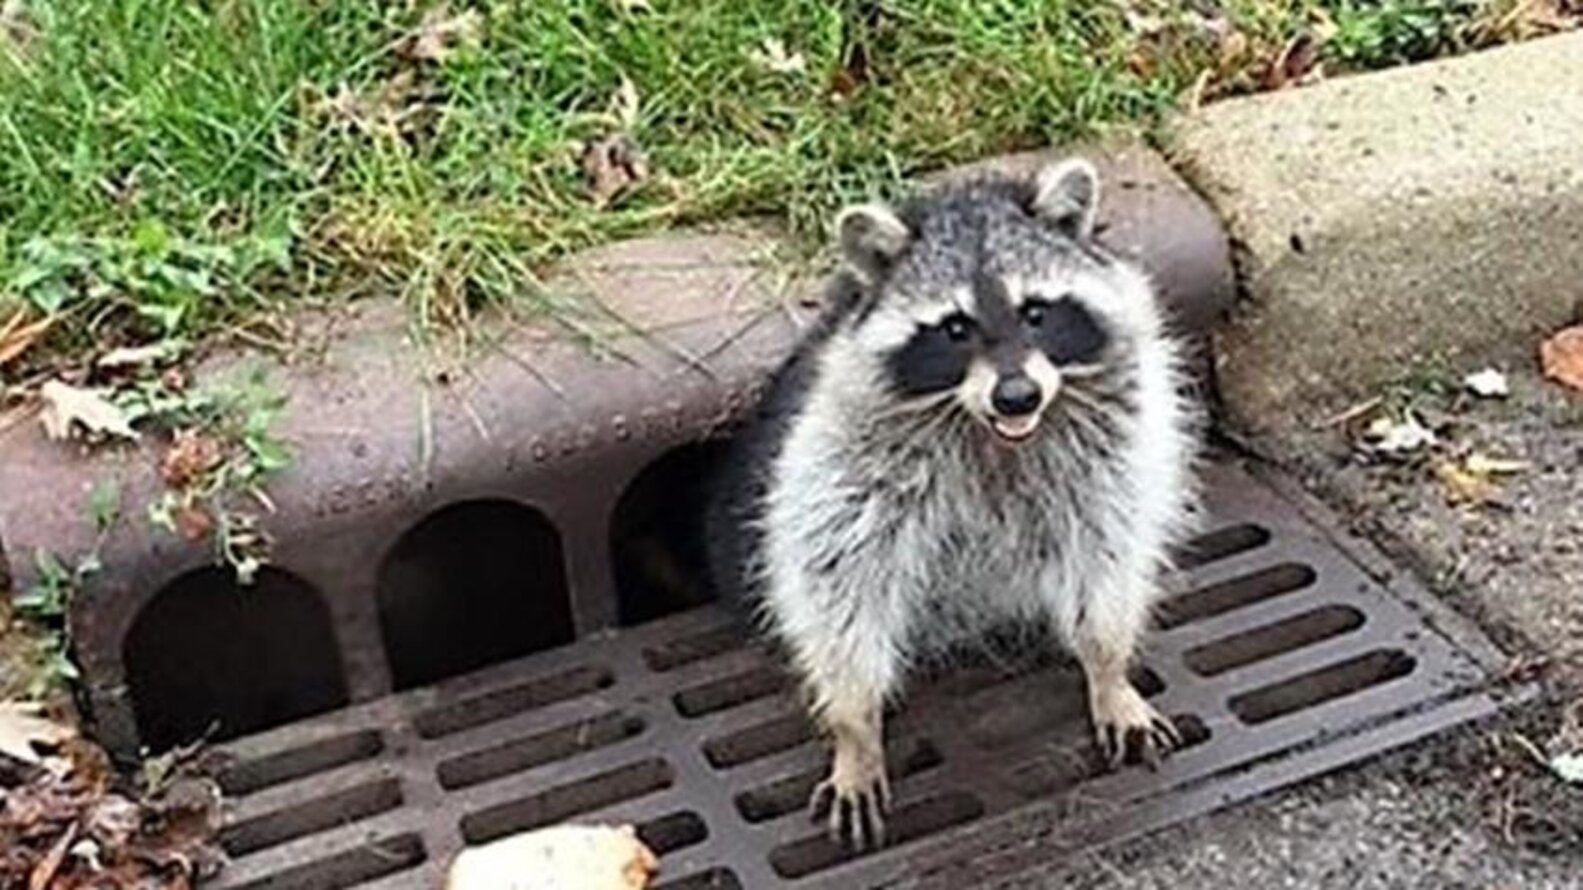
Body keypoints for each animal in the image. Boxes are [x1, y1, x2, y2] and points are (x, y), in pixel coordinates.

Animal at [705, 157, 1200, 849]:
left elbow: (1106, 554)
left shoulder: (1109, 456)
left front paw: (1108, 670)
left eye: (1036, 312)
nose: (1017, 396)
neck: (991, 431)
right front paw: (855, 728)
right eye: (955, 328)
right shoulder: (839, 465)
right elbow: (836, 587)